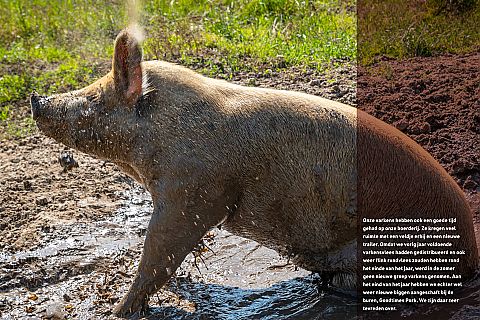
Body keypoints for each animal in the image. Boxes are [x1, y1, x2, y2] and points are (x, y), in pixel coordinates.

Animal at [31, 28, 478, 318]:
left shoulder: (194, 190)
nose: (37, 99)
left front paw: (117, 310)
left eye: (94, 98)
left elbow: (160, 248)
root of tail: (472, 256)